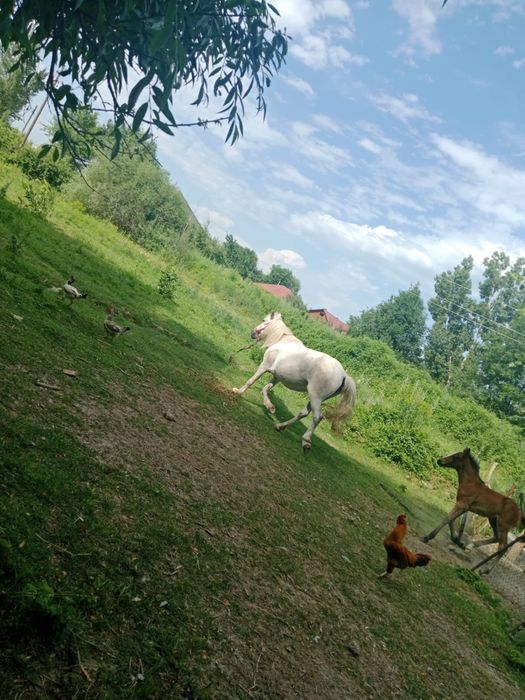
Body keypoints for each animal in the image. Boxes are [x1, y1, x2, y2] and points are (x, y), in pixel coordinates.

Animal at [231, 311, 356, 451]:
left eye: (264, 320)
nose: (252, 333)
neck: (282, 341)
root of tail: (344, 376)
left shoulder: (264, 366)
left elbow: (251, 381)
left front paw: (238, 392)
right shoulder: (277, 377)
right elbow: (265, 389)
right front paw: (270, 407)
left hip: (316, 398)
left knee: (317, 417)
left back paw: (306, 441)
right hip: (316, 398)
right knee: (303, 413)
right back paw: (280, 426)